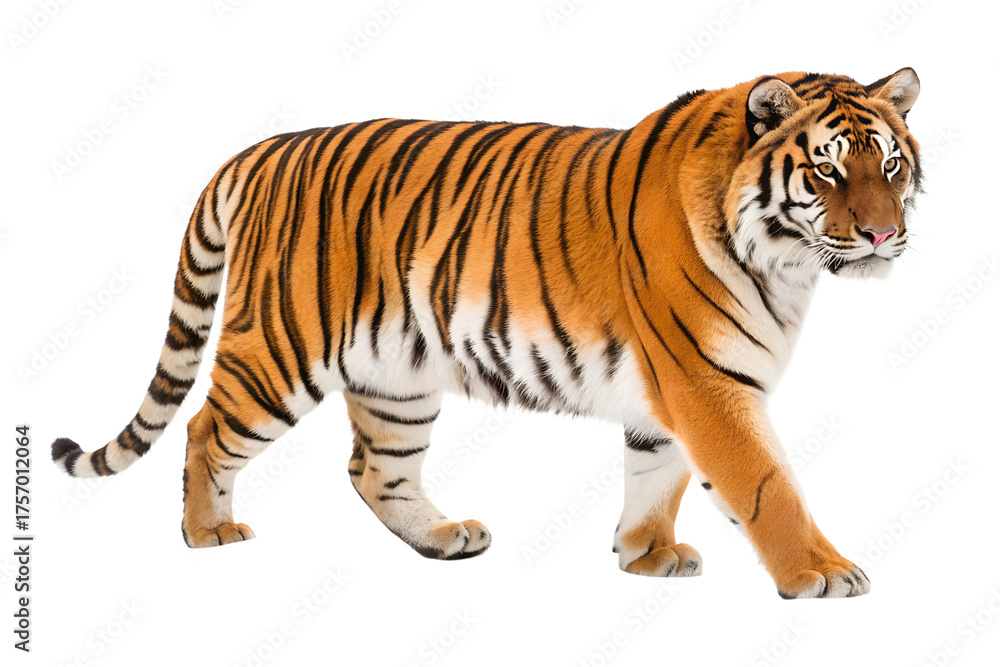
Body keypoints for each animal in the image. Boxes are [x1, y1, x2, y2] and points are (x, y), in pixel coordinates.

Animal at [51, 68, 921, 599]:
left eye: (891, 165)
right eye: (827, 169)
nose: (884, 236)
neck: (787, 265)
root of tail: (260, 150)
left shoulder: (673, 389)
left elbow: (658, 471)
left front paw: (645, 553)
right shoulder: (705, 381)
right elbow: (766, 485)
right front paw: (822, 572)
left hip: (395, 377)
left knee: (374, 468)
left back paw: (443, 537)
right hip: (280, 349)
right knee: (204, 426)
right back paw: (209, 532)